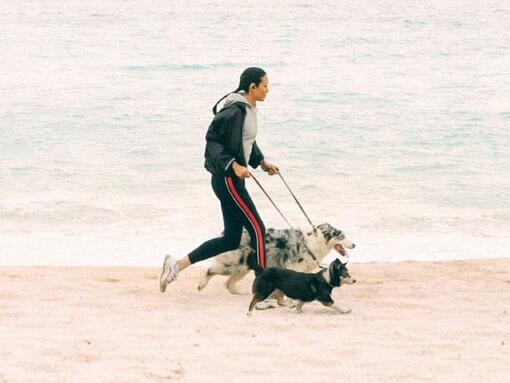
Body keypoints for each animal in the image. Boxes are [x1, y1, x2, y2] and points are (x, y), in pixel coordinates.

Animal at [197, 225, 356, 294]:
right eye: (342, 236)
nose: (354, 244)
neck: (315, 243)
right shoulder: (295, 267)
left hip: (243, 267)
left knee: (229, 283)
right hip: (232, 264)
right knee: (210, 270)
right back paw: (201, 284)